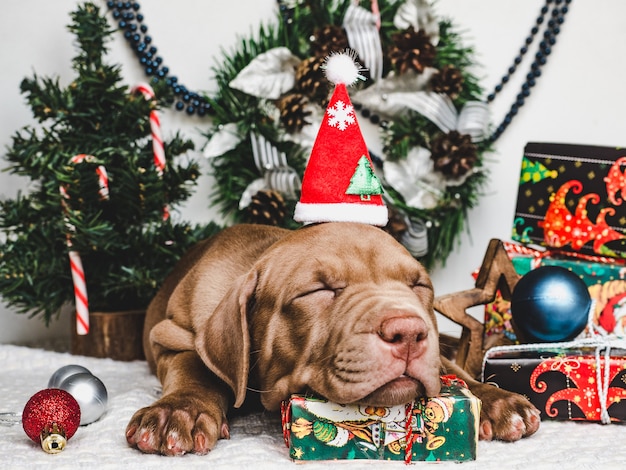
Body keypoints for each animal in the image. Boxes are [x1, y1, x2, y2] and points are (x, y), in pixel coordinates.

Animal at [124, 223, 540, 456]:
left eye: (418, 285)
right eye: (318, 291)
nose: (409, 332)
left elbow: (451, 366)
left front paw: (495, 399)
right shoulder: (169, 335)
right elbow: (195, 367)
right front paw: (180, 411)